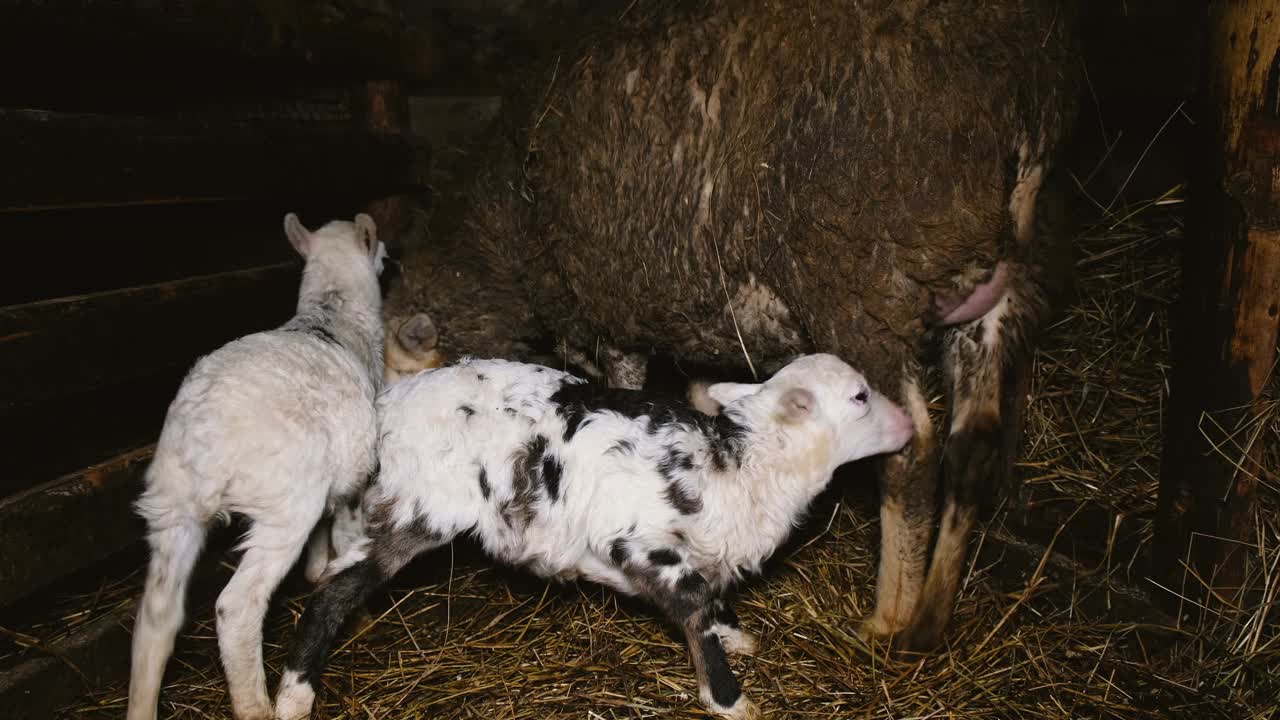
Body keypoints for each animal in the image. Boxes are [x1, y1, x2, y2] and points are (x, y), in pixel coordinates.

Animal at [130, 211, 391, 717]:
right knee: (237, 607)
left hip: (171, 503)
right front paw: (359, 614)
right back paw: (256, 704)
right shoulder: (355, 476)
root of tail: (205, 439)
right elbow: (346, 537)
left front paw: (316, 571)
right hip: (284, 502)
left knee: (156, 617)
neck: (332, 312)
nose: (389, 257)